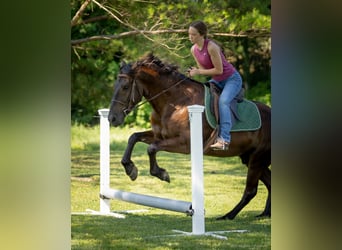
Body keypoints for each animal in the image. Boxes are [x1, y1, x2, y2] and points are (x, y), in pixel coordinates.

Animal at [108, 53, 272, 220]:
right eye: (115, 86)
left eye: (125, 87)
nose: (112, 118)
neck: (175, 102)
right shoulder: (159, 135)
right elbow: (133, 137)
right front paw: (130, 169)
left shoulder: (184, 144)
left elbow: (152, 148)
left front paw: (161, 174)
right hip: (250, 158)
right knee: (269, 183)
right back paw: (264, 214)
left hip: (257, 159)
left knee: (251, 191)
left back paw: (228, 216)